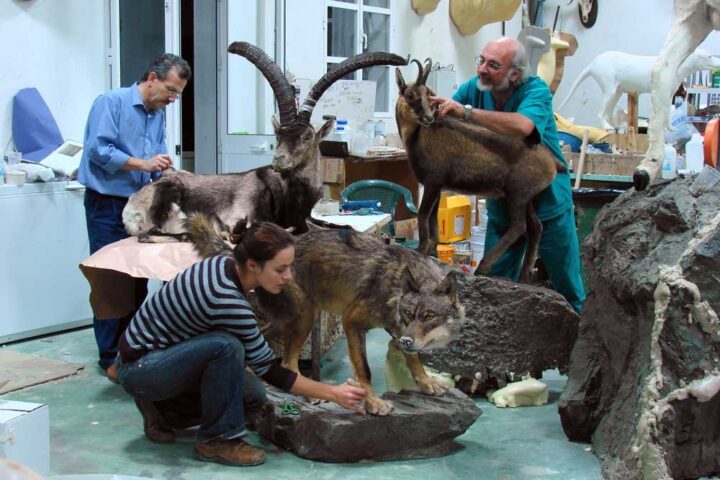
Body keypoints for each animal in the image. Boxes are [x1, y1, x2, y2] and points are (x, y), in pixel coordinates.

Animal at [187, 215, 466, 416]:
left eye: (428, 316)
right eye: (409, 314)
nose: (407, 340)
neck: (396, 286)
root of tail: (238, 256)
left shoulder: (398, 332)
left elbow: (414, 358)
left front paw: (427, 383)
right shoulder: (352, 321)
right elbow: (364, 370)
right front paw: (373, 402)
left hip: (291, 320)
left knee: (269, 347)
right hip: (305, 317)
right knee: (288, 362)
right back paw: (310, 394)